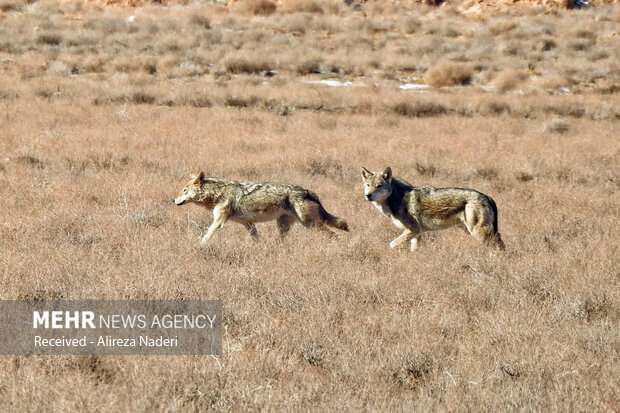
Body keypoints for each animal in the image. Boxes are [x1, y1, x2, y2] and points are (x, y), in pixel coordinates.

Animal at [173, 171, 348, 243]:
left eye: (184, 190)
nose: (173, 200)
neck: (218, 193)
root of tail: (307, 191)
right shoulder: (249, 224)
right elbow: (256, 238)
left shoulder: (219, 222)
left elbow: (207, 235)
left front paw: (199, 246)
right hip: (284, 225)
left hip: (310, 224)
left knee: (334, 235)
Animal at [360, 165, 506, 249]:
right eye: (368, 185)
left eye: (379, 186)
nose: (368, 195)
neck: (396, 198)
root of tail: (487, 196)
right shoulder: (416, 234)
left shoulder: (413, 230)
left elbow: (391, 245)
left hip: (479, 233)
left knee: (500, 248)